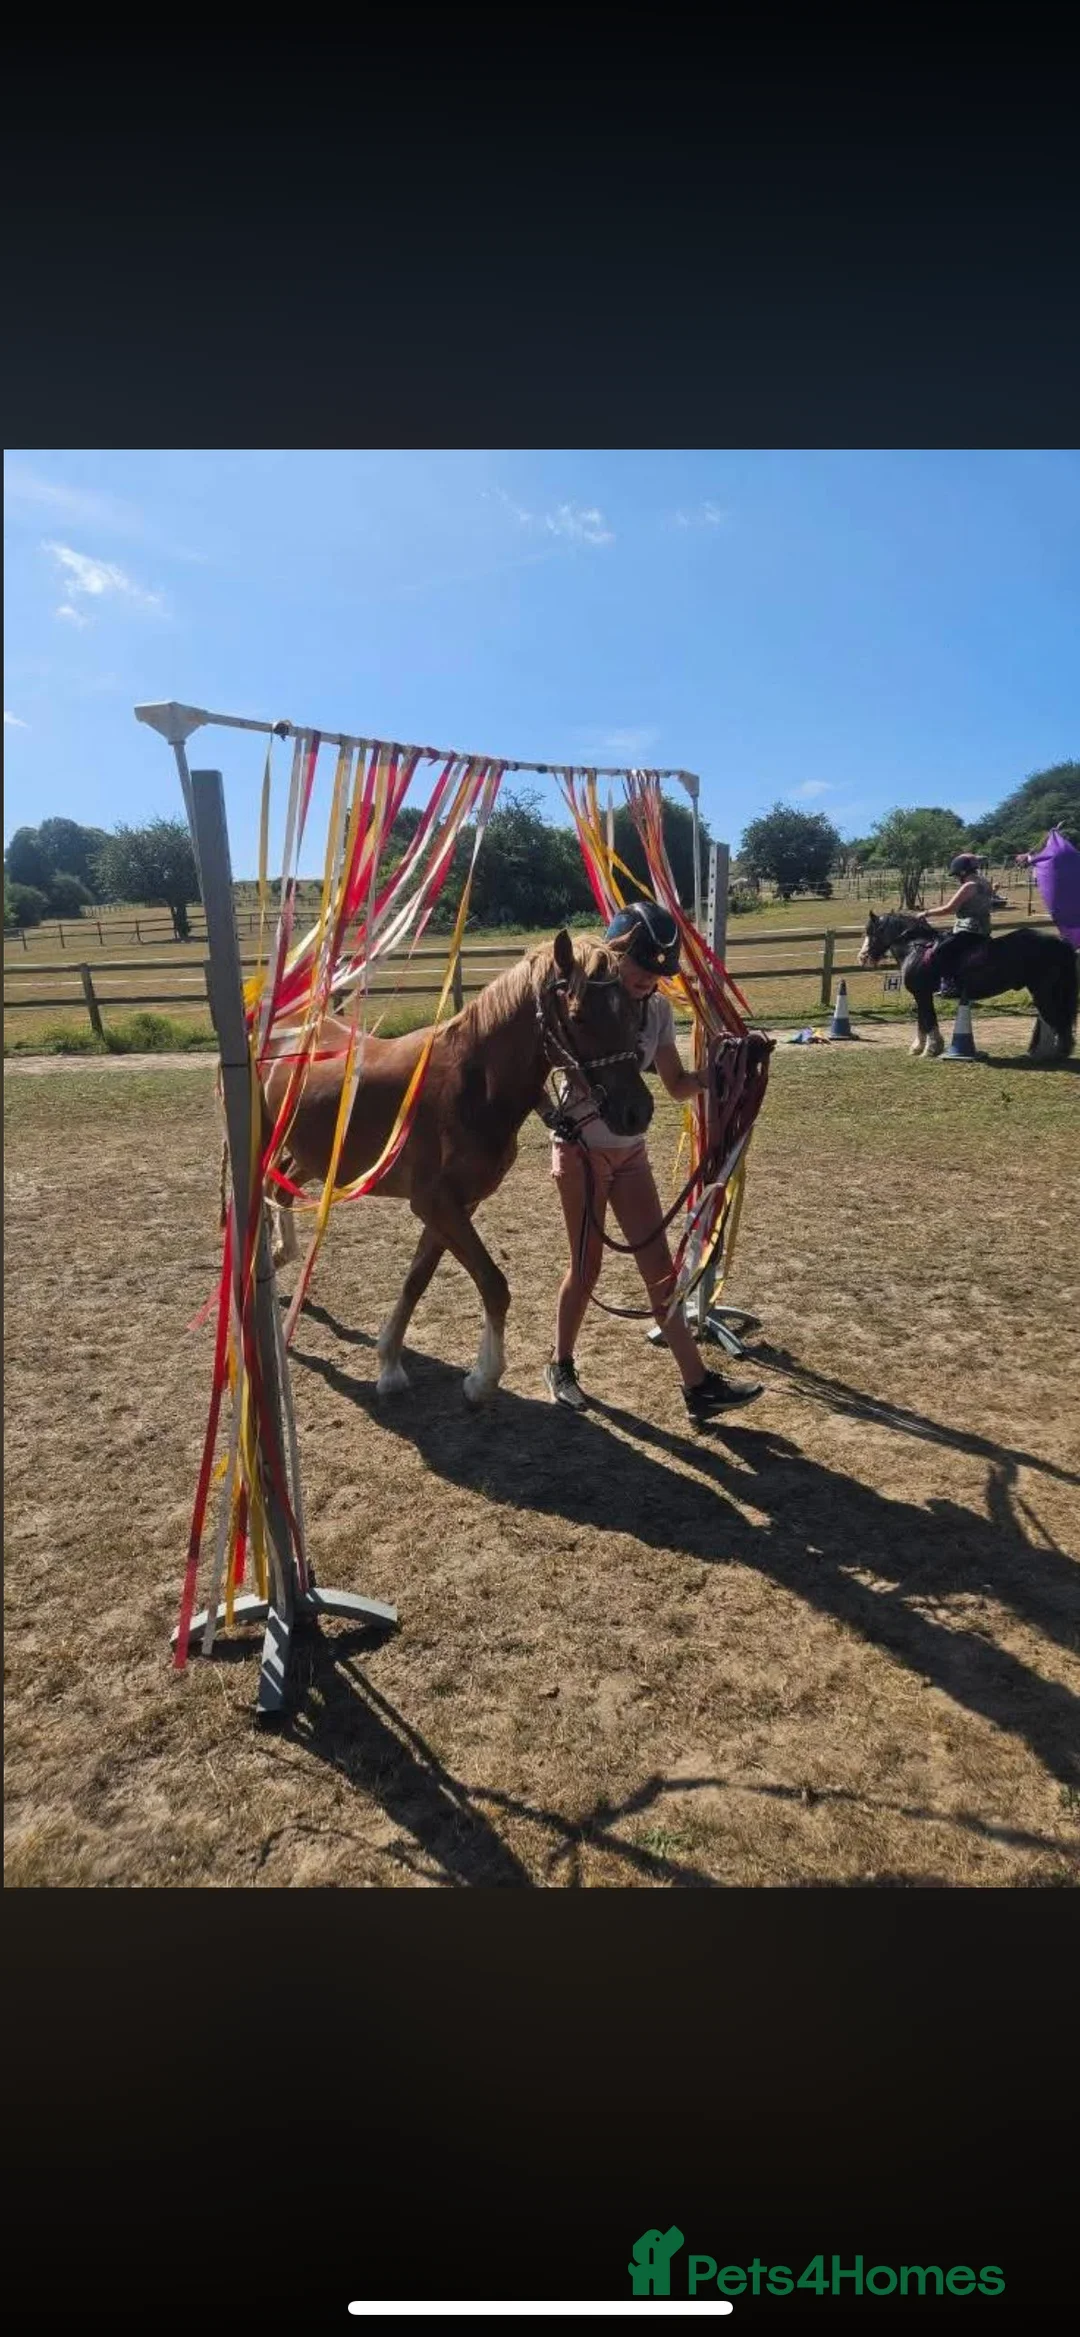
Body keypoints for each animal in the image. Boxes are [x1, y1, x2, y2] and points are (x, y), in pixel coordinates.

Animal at [237, 929, 654, 1408]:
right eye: (580, 1016)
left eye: (633, 1011)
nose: (637, 1113)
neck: (473, 1084)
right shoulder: (436, 1204)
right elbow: (493, 1284)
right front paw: (483, 1378)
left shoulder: (456, 1207)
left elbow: (417, 1280)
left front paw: (390, 1365)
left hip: (315, 1160)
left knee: (281, 1188)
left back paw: (282, 1255)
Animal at [857, 910, 1077, 1060]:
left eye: (872, 931)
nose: (863, 957)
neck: (915, 947)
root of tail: (1059, 942)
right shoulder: (922, 994)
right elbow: (922, 1020)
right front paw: (920, 1048)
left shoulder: (922, 993)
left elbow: (927, 1020)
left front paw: (929, 1049)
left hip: (1043, 991)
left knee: (1055, 1020)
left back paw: (1050, 1054)